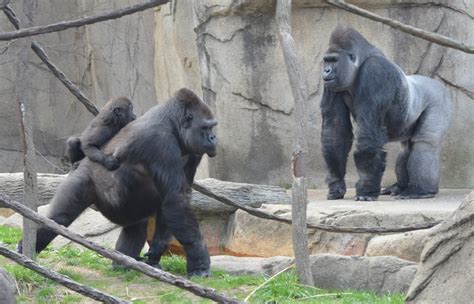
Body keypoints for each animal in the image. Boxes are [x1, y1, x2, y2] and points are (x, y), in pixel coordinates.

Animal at [320, 26, 450, 202]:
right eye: (327, 60)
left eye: (334, 60)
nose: (326, 70)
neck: (360, 63)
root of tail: (439, 85)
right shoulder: (331, 85)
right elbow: (335, 132)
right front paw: (337, 184)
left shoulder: (375, 71)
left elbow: (368, 135)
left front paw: (366, 189)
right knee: (406, 149)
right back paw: (399, 187)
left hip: (439, 100)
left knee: (424, 143)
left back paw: (421, 190)